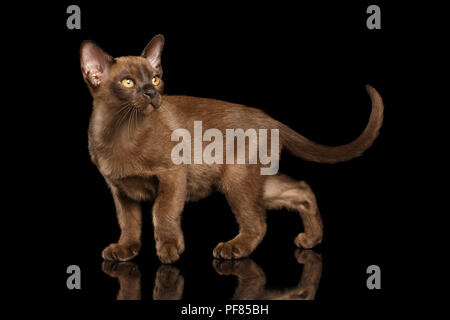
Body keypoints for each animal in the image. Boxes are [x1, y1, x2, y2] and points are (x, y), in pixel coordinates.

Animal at [79, 33, 382, 264]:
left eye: (155, 79)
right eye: (128, 82)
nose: (152, 93)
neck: (120, 132)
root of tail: (269, 118)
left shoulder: (172, 176)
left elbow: (162, 214)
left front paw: (169, 251)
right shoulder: (121, 190)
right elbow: (129, 223)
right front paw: (125, 250)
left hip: (235, 180)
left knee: (259, 222)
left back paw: (233, 248)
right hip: (253, 182)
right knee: (301, 190)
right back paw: (310, 240)